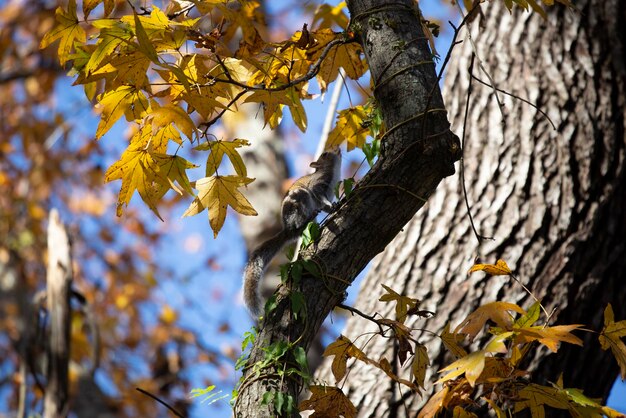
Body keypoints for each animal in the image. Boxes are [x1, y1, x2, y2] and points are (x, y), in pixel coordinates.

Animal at [243, 149, 342, 316]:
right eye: (325, 154)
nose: (339, 149)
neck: (334, 172)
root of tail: (288, 230)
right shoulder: (317, 186)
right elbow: (320, 196)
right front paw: (333, 206)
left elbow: (325, 205)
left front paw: (333, 206)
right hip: (300, 199)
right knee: (299, 222)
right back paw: (307, 219)